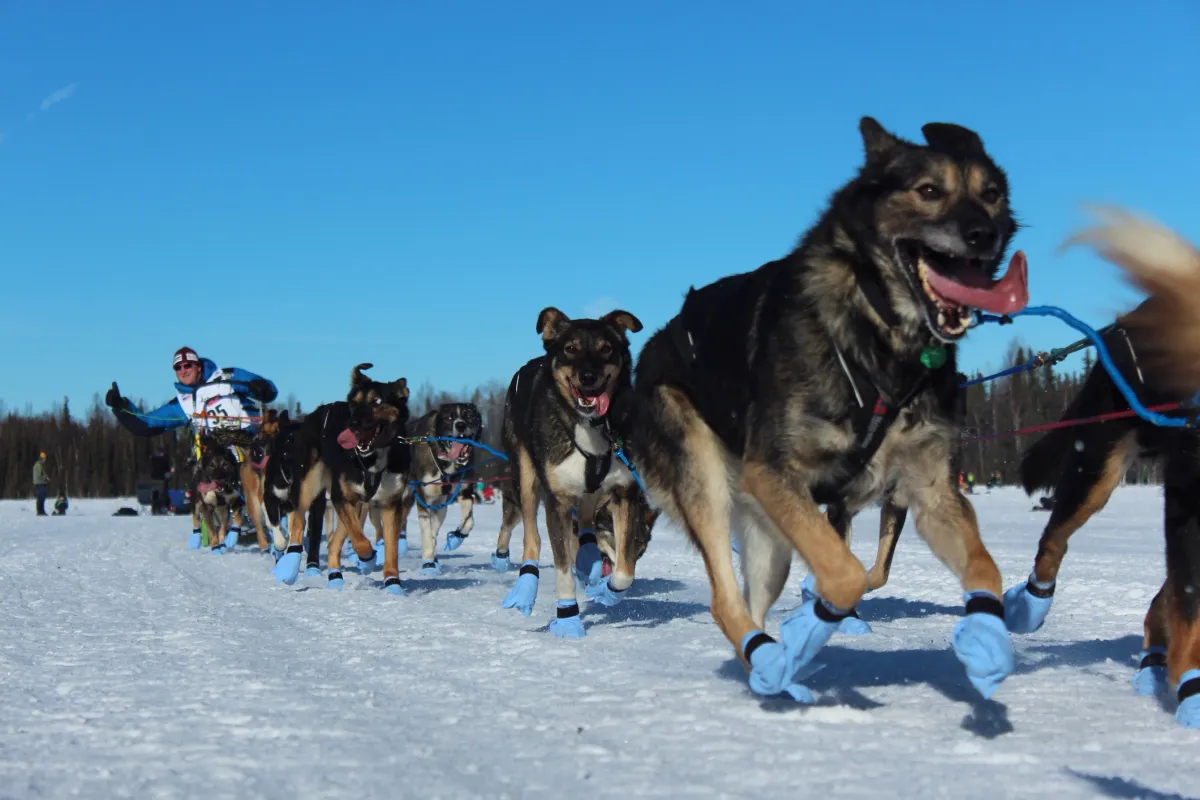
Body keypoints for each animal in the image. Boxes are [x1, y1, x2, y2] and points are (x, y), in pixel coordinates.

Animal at [271, 362, 412, 594]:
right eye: (354, 403)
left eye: (377, 401)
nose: (353, 423)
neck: (371, 459)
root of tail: (319, 411)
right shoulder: (341, 496)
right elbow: (360, 542)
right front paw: (368, 559)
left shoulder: (390, 504)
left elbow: (390, 548)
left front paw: (393, 582)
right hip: (309, 486)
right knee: (299, 521)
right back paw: (290, 567)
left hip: (356, 503)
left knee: (334, 541)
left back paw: (335, 576)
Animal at [398, 407, 482, 575]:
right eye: (449, 417)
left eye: (470, 415)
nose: (460, 425)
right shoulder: (423, 497)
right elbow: (425, 531)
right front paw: (428, 561)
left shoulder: (465, 492)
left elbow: (469, 521)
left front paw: (456, 538)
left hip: (441, 505)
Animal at [496, 307, 648, 638]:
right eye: (570, 348)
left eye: (606, 348)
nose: (588, 377)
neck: (591, 427)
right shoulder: (559, 500)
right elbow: (562, 568)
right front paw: (567, 618)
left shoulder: (624, 491)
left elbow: (625, 571)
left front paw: (607, 590)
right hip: (525, 477)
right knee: (532, 537)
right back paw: (527, 583)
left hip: (594, 488)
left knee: (588, 519)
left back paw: (589, 558)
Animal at [628, 117, 1032, 700]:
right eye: (928, 190)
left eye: (992, 194)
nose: (984, 234)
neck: (881, 340)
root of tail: (648, 355)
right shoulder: (774, 472)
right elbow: (846, 575)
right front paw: (810, 628)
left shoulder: (931, 493)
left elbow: (985, 569)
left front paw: (986, 637)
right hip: (708, 480)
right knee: (725, 602)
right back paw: (778, 659)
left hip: (770, 541)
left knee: (750, 604)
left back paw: (773, 674)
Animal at [1003, 208, 1200, 734]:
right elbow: (1189, 611)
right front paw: (1192, 691)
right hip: (1095, 470)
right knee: (1052, 542)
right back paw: (1030, 605)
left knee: (1156, 604)